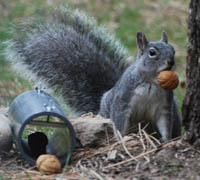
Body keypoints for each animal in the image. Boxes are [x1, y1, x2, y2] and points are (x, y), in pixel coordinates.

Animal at [3, 7, 181, 142]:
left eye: (173, 49)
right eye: (152, 52)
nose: (171, 62)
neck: (151, 81)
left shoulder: (164, 105)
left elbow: (165, 123)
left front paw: (166, 140)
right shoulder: (123, 99)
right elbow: (119, 120)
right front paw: (121, 138)